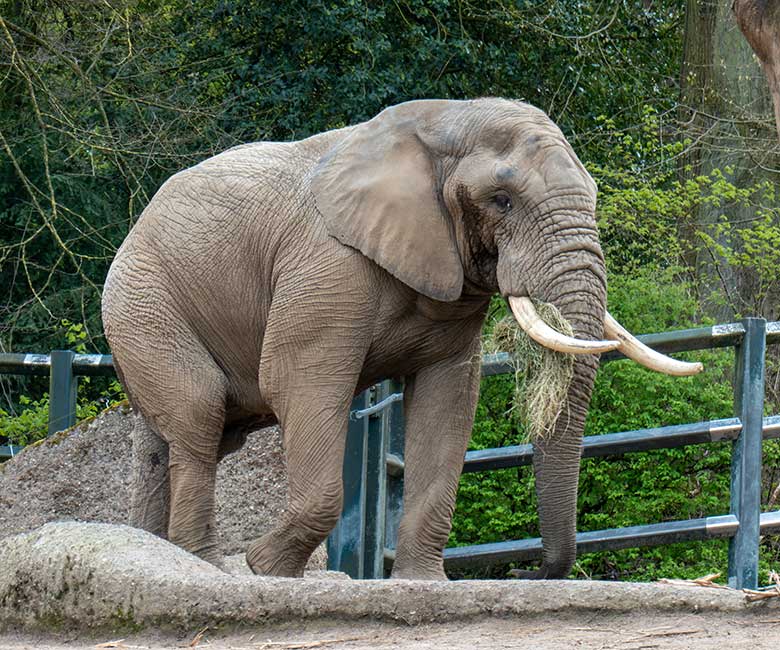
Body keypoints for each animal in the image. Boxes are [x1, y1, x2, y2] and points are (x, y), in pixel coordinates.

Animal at [102, 97, 700, 576]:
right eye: (502, 199)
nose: (532, 571)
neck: (445, 121)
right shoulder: (326, 264)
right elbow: (298, 384)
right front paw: (265, 568)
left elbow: (447, 402)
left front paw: (423, 583)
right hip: (142, 302)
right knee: (200, 411)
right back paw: (203, 566)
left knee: (174, 437)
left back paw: (153, 552)